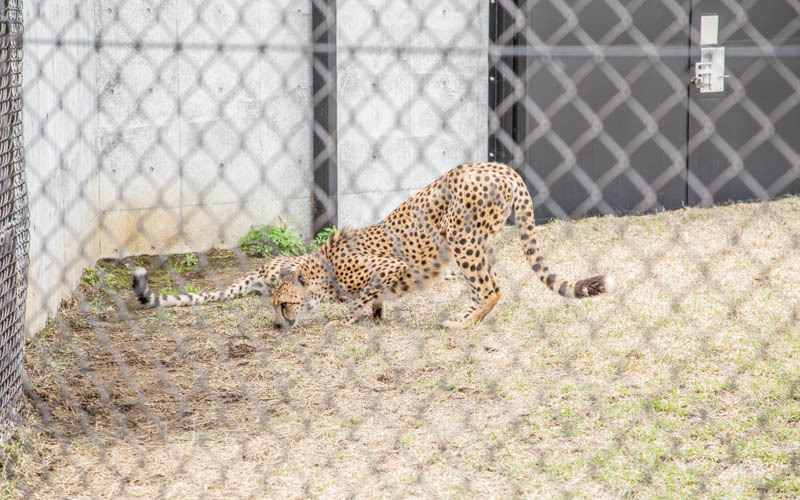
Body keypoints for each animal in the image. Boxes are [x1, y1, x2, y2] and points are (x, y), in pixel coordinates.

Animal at [270, 162, 612, 330]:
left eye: (284, 304)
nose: (278, 325)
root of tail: (498, 166)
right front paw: (377, 314)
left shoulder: (390, 267)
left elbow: (360, 298)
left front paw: (348, 318)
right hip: (474, 244)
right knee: (489, 286)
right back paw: (465, 318)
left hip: (461, 237)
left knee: (489, 289)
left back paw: (461, 325)